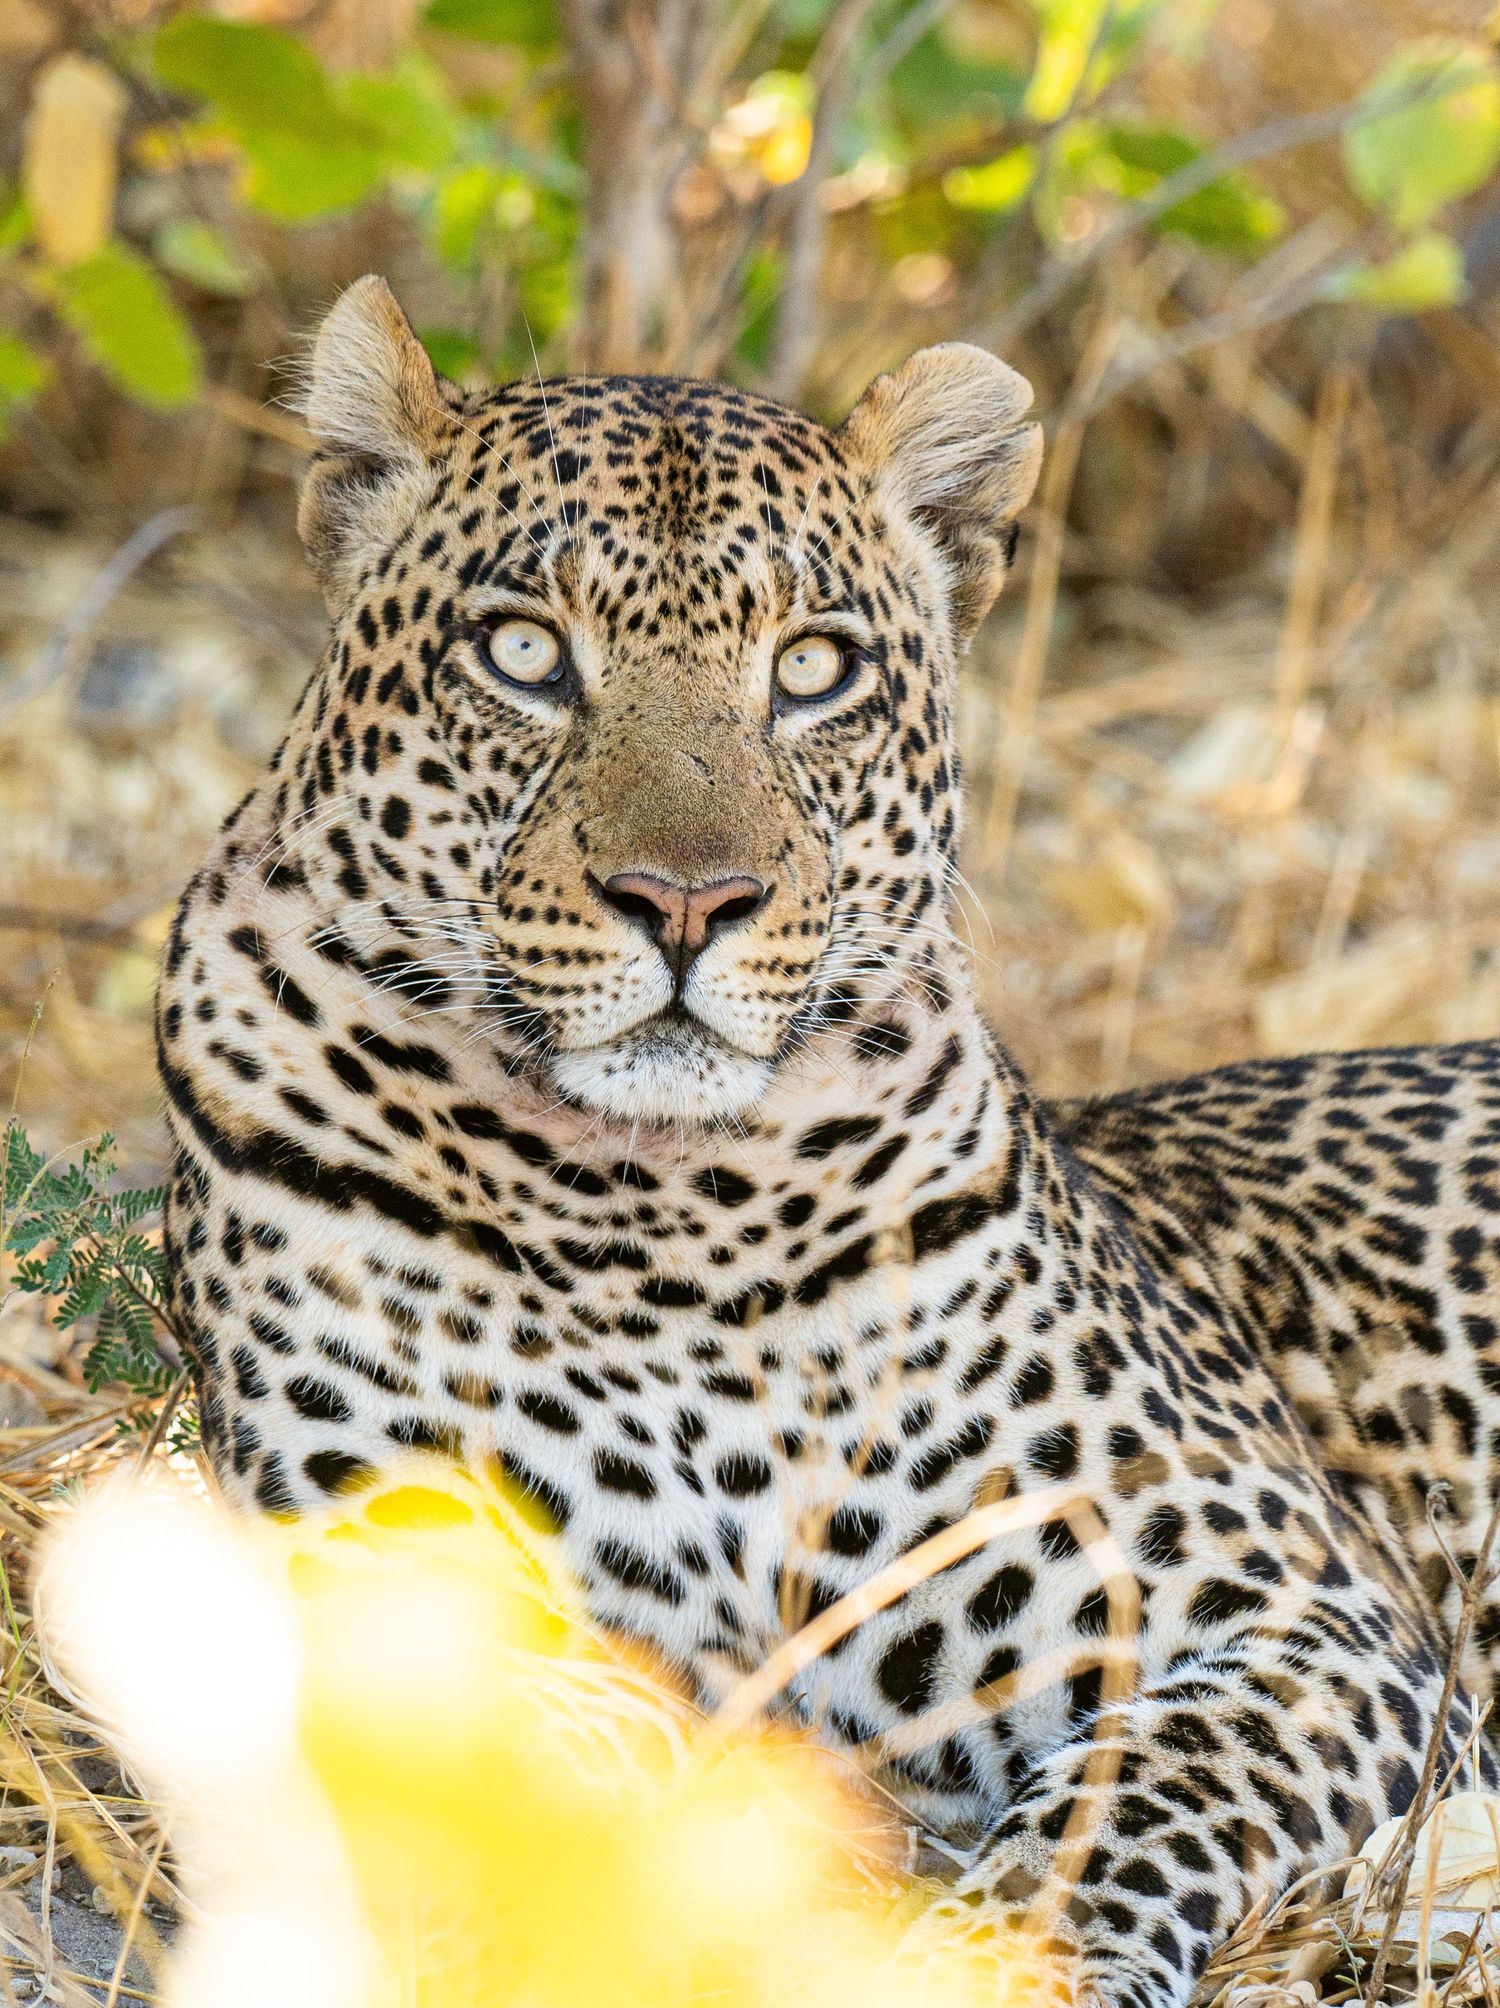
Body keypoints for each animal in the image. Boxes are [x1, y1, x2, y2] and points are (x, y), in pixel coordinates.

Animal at [156, 273, 1500, 2008]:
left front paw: (983, 1959)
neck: (656, 1209)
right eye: (524, 653)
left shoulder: (1301, 1614)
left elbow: (1128, 1807)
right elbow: (559, 1775)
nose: (684, 901)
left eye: (810, 670)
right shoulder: (395, 1575)